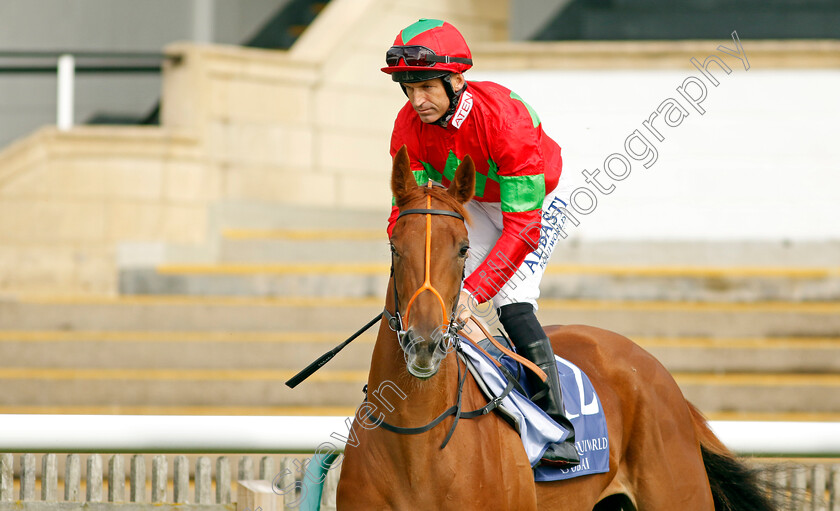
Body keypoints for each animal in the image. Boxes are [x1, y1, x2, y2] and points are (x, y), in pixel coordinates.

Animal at [336, 146, 776, 510]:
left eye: (462, 248)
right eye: (395, 246)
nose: (425, 344)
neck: (417, 444)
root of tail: (654, 369)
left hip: (678, 492)